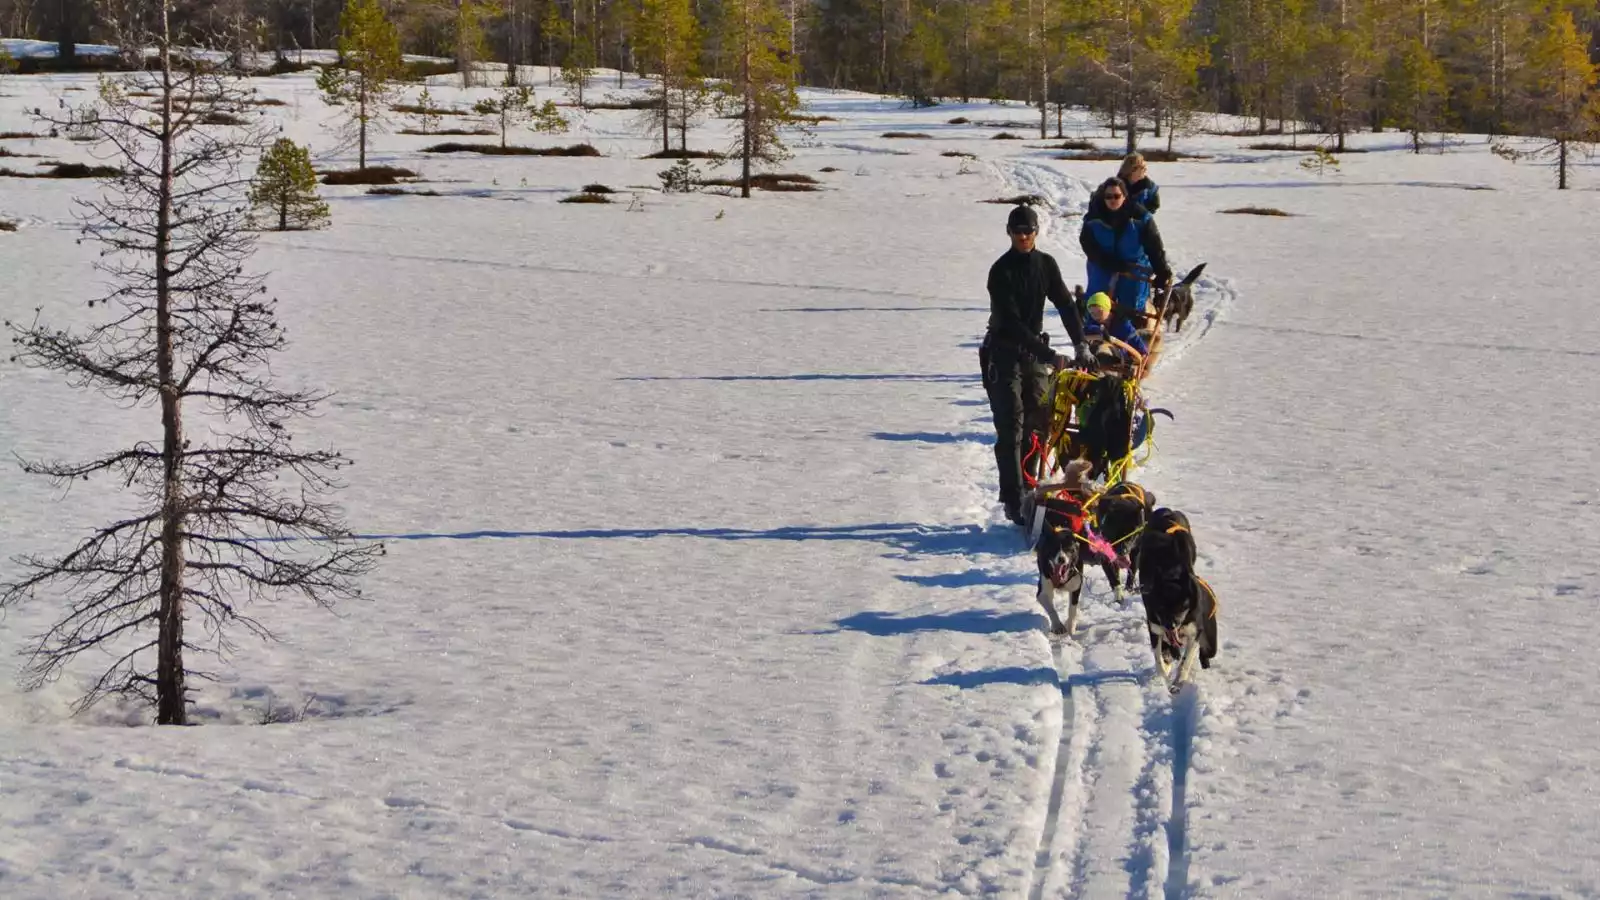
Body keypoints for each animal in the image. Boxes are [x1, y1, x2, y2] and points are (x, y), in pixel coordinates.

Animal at [1132, 509, 1216, 682]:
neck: (1170, 572)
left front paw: (1180, 679)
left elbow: (1186, 660)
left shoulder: (1194, 631)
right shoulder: (1155, 627)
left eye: (1183, 606)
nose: (1171, 625)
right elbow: (1159, 657)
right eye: (1161, 606)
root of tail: (1168, 512)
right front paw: (1164, 673)